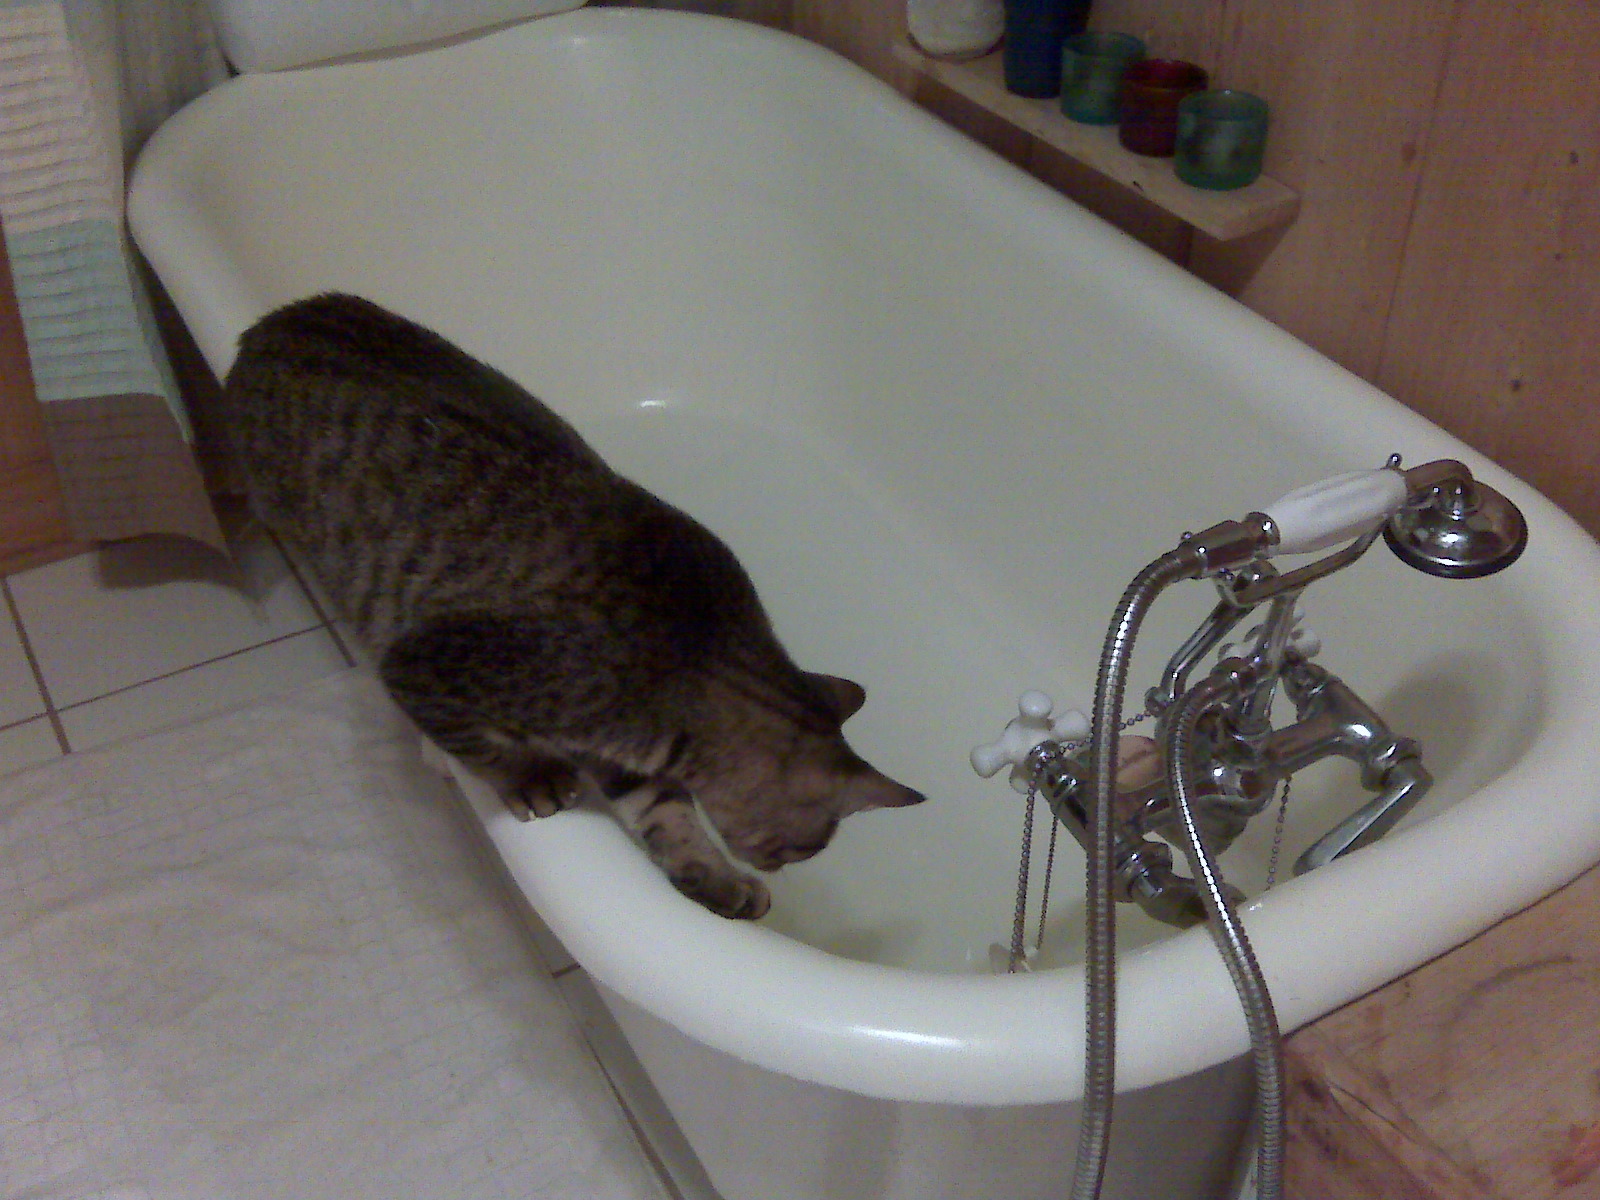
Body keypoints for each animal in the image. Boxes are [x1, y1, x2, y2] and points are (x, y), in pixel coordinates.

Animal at [222, 293, 924, 919]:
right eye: (810, 847)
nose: (781, 865)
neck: (695, 650)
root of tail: (264, 327)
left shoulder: (624, 753)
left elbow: (670, 821)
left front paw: (716, 880)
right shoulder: (429, 662)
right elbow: (483, 744)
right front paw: (527, 775)